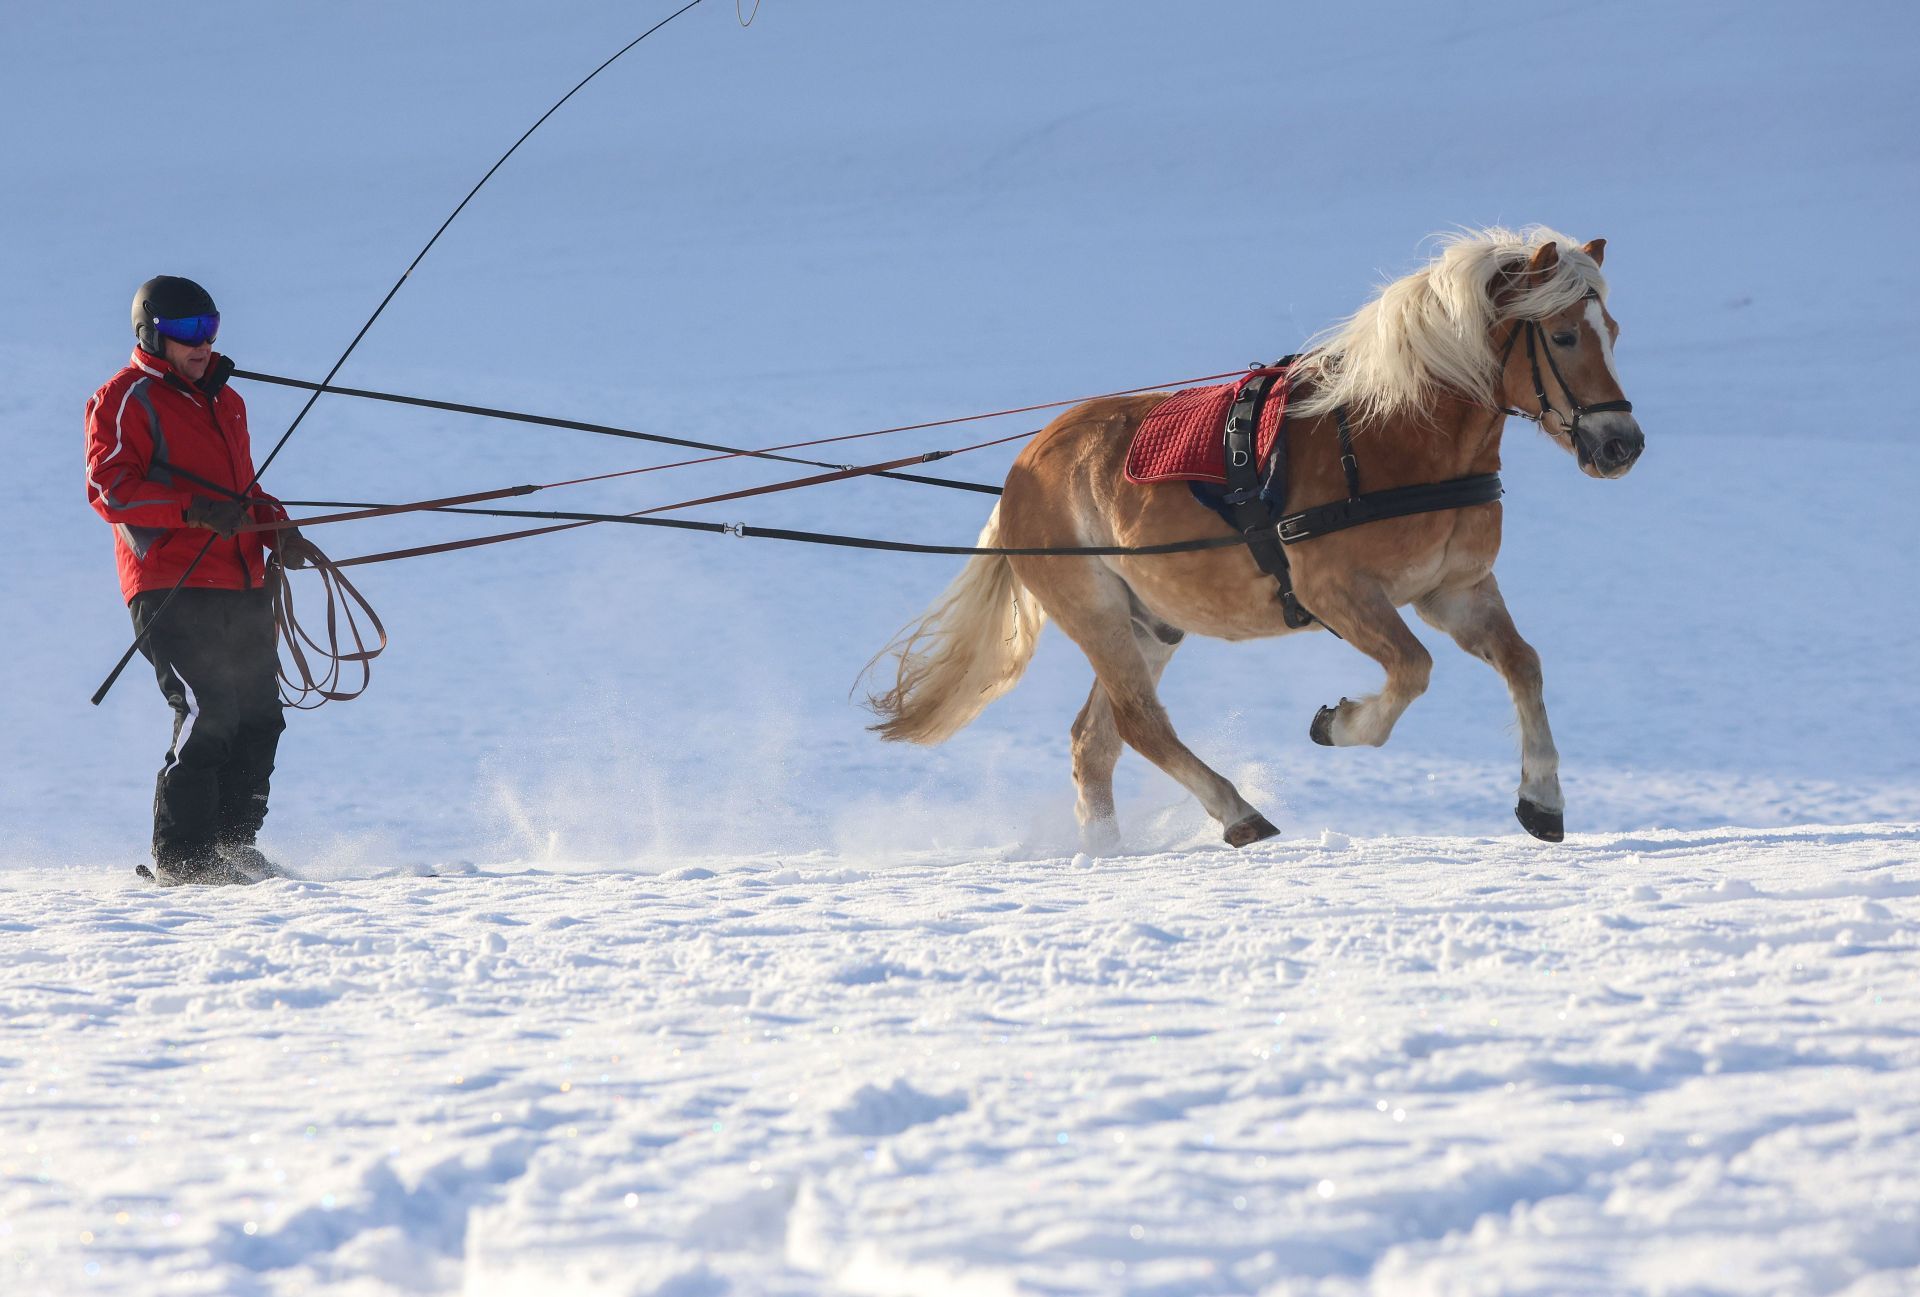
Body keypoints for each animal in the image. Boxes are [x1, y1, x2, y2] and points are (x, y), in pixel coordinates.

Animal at [864, 222, 1643, 851]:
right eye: (1564, 335)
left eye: (1613, 333)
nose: (1621, 445)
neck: (1394, 440)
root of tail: (1022, 470)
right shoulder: (1338, 592)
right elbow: (1413, 669)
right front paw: (1339, 723)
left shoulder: (1455, 589)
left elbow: (1524, 664)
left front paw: (1542, 800)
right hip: (1094, 610)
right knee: (1139, 725)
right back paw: (1236, 812)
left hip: (1152, 622)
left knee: (1095, 743)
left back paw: (1107, 853)